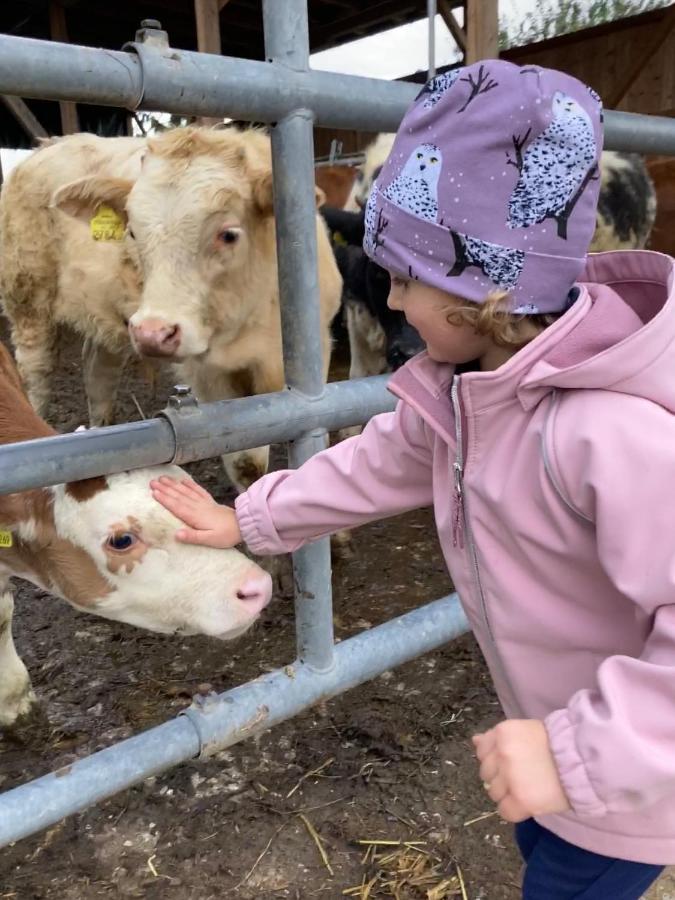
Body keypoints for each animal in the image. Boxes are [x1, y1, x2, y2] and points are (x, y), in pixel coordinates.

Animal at [0, 126, 340, 492]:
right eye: (133, 232)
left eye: (228, 234)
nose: (152, 333)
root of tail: (46, 147)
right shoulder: (210, 376)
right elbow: (247, 463)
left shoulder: (319, 350)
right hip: (28, 299)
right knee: (36, 374)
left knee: (98, 373)